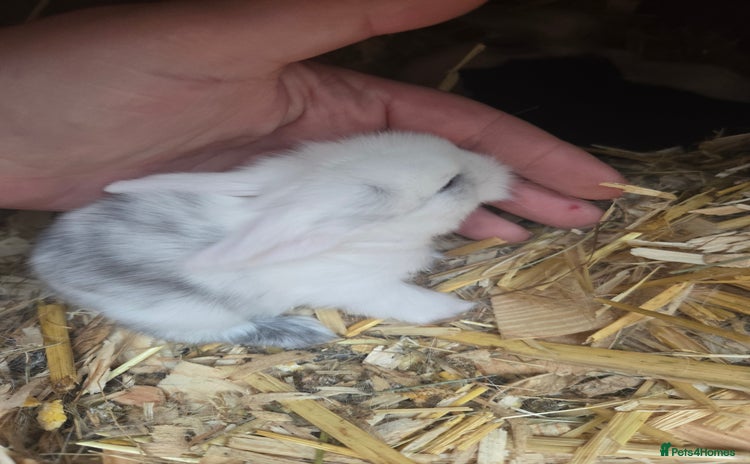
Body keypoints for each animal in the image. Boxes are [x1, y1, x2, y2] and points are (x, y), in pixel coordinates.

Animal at [30, 131, 513, 348]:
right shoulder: (365, 288)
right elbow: (411, 303)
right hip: (185, 312)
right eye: (449, 184)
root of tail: (46, 261)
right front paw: (457, 309)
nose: (502, 171)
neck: (368, 241)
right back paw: (302, 331)